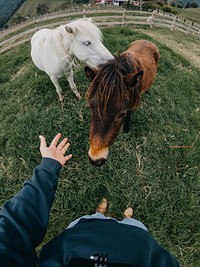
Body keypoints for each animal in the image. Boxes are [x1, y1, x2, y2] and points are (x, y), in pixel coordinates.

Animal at [85, 39, 159, 168]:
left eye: (121, 114)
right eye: (91, 107)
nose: (95, 160)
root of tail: (147, 41)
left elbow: (129, 115)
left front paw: (126, 128)